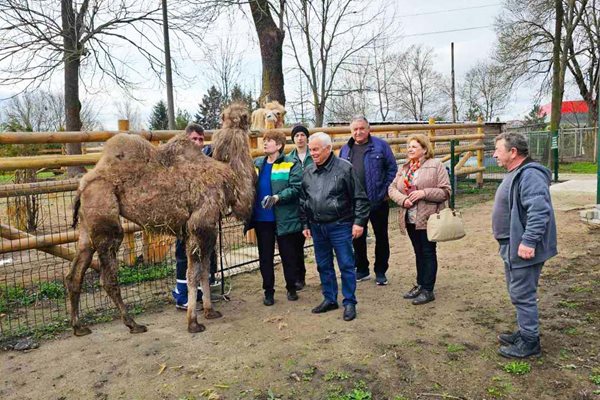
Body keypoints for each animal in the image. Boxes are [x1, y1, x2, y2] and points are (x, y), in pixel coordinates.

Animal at [67, 102, 255, 334]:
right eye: (244, 115)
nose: (248, 120)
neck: (229, 176)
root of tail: (83, 185)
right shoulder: (201, 224)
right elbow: (193, 273)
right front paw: (193, 322)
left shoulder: (206, 229)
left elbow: (204, 271)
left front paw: (210, 311)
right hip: (106, 223)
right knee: (107, 277)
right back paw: (133, 323)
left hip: (86, 227)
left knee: (75, 274)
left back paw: (79, 327)